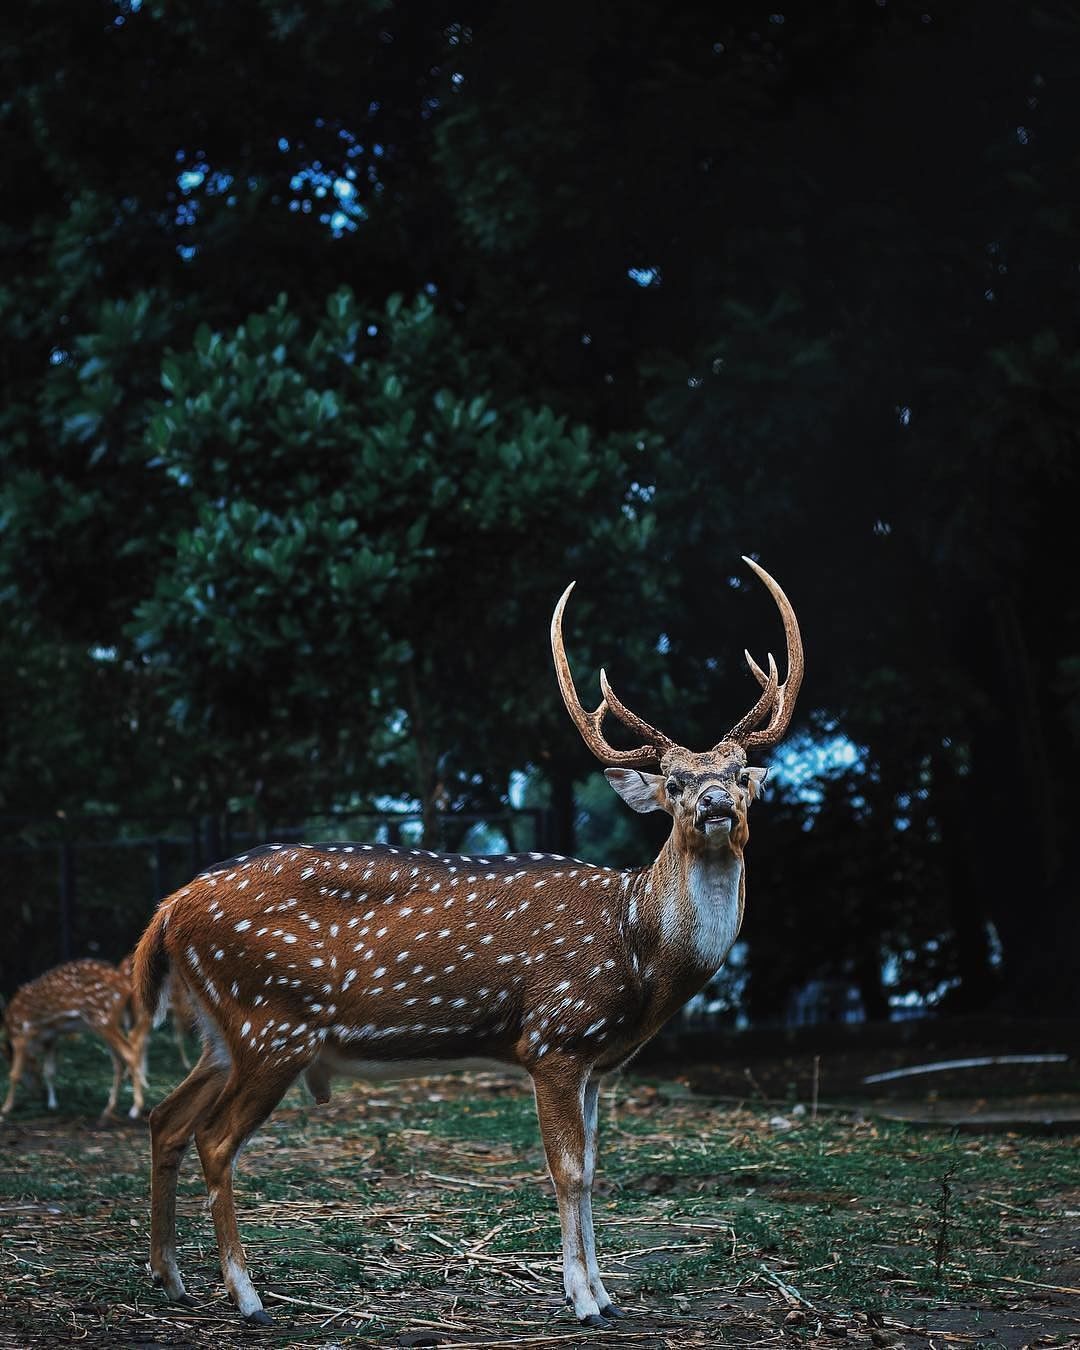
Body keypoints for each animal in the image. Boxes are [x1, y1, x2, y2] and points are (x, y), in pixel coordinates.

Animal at [2, 955, 147, 1123]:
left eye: (31, 1070)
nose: (38, 1094)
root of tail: (125, 985)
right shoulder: (52, 1036)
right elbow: (49, 1071)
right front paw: (52, 1104)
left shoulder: (21, 1034)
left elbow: (14, 1074)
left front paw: (5, 1108)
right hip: (106, 1023)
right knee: (119, 1062)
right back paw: (108, 1110)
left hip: (102, 1018)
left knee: (130, 1053)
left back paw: (135, 1109)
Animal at [130, 553, 799, 1323]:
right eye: (673, 782)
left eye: (737, 776)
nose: (717, 804)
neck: (638, 948)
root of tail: (169, 908)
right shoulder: (554, 1039)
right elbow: (568, 1171)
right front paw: (582, 1300)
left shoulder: (597, 1062)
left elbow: (594, 1170)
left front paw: (605, 1293)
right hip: (273, 1021)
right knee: (214, 1140)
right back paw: (246, 1295)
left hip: (224, 1030)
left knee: (166, 1119)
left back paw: (170, 1277)